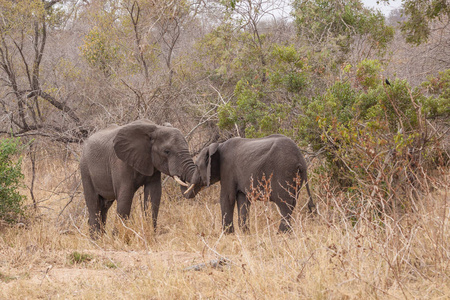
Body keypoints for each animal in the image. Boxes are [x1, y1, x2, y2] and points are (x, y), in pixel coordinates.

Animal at [181, 134, 314, 234]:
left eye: (196, 166)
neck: (218, 145)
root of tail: (301, 160)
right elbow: (243, 199)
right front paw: (245, 233)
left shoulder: (228, 169)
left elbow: (227, 198)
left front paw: (227, 234)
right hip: (296, 178)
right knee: (291, 203)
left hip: (284, 172)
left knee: (285, 204)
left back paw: (281, 234)